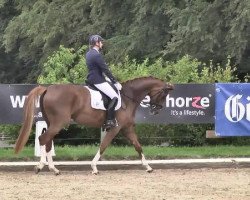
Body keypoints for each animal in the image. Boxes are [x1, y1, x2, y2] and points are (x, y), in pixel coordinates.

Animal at [14, 76, 173, 174]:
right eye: (164, 94)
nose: (156, 110)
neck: (128, 97)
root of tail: (47, 89)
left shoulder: (127, 128)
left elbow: (138, 146)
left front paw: (148, 167)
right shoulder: (115, 128)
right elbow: (103, 145)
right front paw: (94, 167)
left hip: (51, 123)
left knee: (47, 141)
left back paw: (54, 169)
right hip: (58, 123)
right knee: (43, 139)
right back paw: (41, 167)